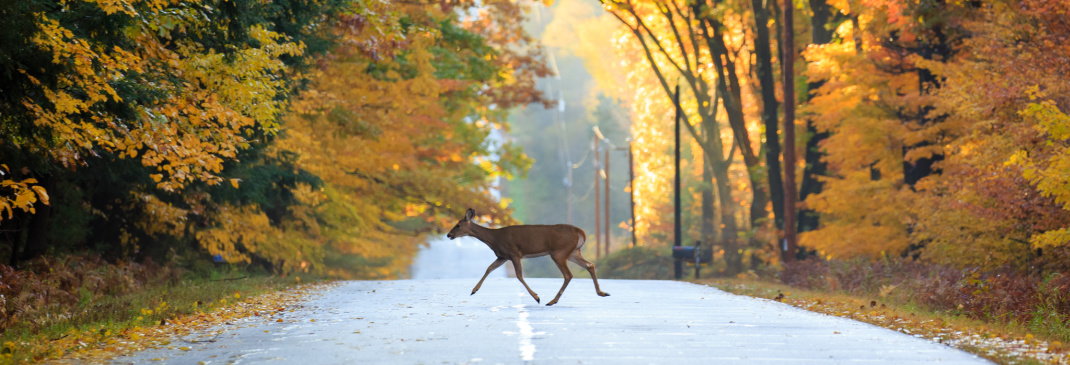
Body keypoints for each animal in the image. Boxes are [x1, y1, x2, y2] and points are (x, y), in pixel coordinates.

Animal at [445, 207, 612, 303]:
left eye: (458, 225)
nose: (448, 235)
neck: (494, 239)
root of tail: (580, 232)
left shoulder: (513, 253)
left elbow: (519, 276)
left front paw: (536, 297)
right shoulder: (502, 256)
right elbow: (489, 268)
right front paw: (474, 290)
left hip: (559, 252)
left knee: (568, 274)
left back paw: (552, 300)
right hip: (572, 252)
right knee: (590, 265)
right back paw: (602, 292)